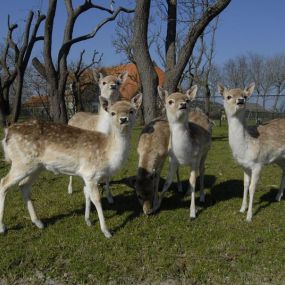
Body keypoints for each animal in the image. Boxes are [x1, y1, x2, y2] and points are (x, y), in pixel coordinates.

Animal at [0, 93, 142, 237]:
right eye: (112, 113)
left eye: (131, 110)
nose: (123, 119)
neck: (107, 153)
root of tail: (7, 133)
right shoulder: (91, 174)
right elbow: (96, 199)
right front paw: (106, 231)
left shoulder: (85, 175)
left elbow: (86, 195)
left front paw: (88, 220)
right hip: (21, 162)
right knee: (4, 183)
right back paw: (2, 227)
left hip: (36, 167)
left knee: (23, 186)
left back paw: (39, 223)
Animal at [156, 85, 212, 216]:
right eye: (170, 101)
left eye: (187, 100)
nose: (183, 104)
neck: (183, 152)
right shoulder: (172, 160)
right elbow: (167, 183)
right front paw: (155, 206)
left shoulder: (195, 158)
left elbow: (193, 181)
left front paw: (192, 212)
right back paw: (186, 192)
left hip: (204, 153)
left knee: (202, 171)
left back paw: (202, 197)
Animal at [216, 81, 282, 220]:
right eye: (228, 96)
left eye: (245, 96)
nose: (240, 100)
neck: (246, 149)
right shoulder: (245, 166)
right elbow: (245, 185)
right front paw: (242, 209)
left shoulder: (258, 164)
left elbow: (252, 187)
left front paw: (249, 217)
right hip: (280, 159)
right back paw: (278, 197)